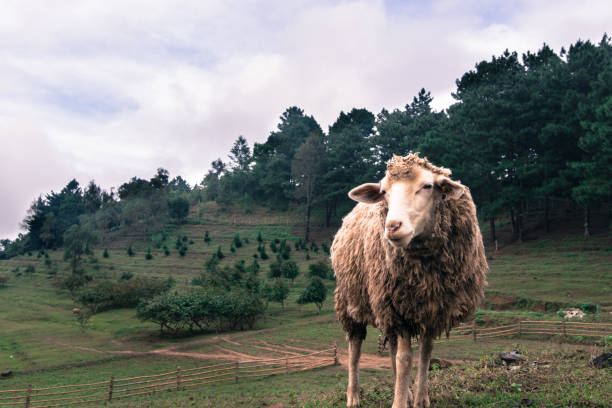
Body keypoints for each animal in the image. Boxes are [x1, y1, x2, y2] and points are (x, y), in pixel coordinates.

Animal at [330, 153, 488, 408]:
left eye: (428, 186)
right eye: (384, 192)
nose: (392, 226)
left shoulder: (433, 308)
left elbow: (425, 352)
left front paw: (421, 398)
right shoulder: (401, 308)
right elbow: (404, 359)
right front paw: (399, 402)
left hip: (386, 304)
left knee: (392, 345)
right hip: (351, 298)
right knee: (355, 346)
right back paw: (353, 396)